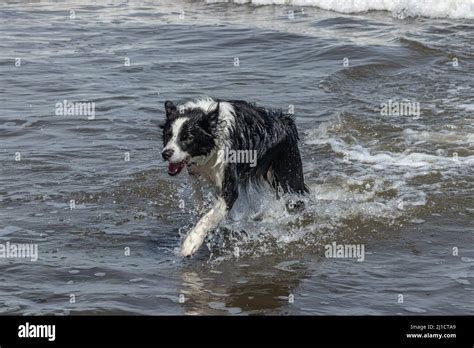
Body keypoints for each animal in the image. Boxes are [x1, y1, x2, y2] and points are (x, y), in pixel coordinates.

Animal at [159, 97, 308, 256]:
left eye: (187, 137)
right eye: (168, 135)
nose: (166, 153)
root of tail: (286, 120)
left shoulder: (229, 184)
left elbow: (209, 217)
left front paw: (191, 243)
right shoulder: (196, 173)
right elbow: (199, 201)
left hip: (289, 174)